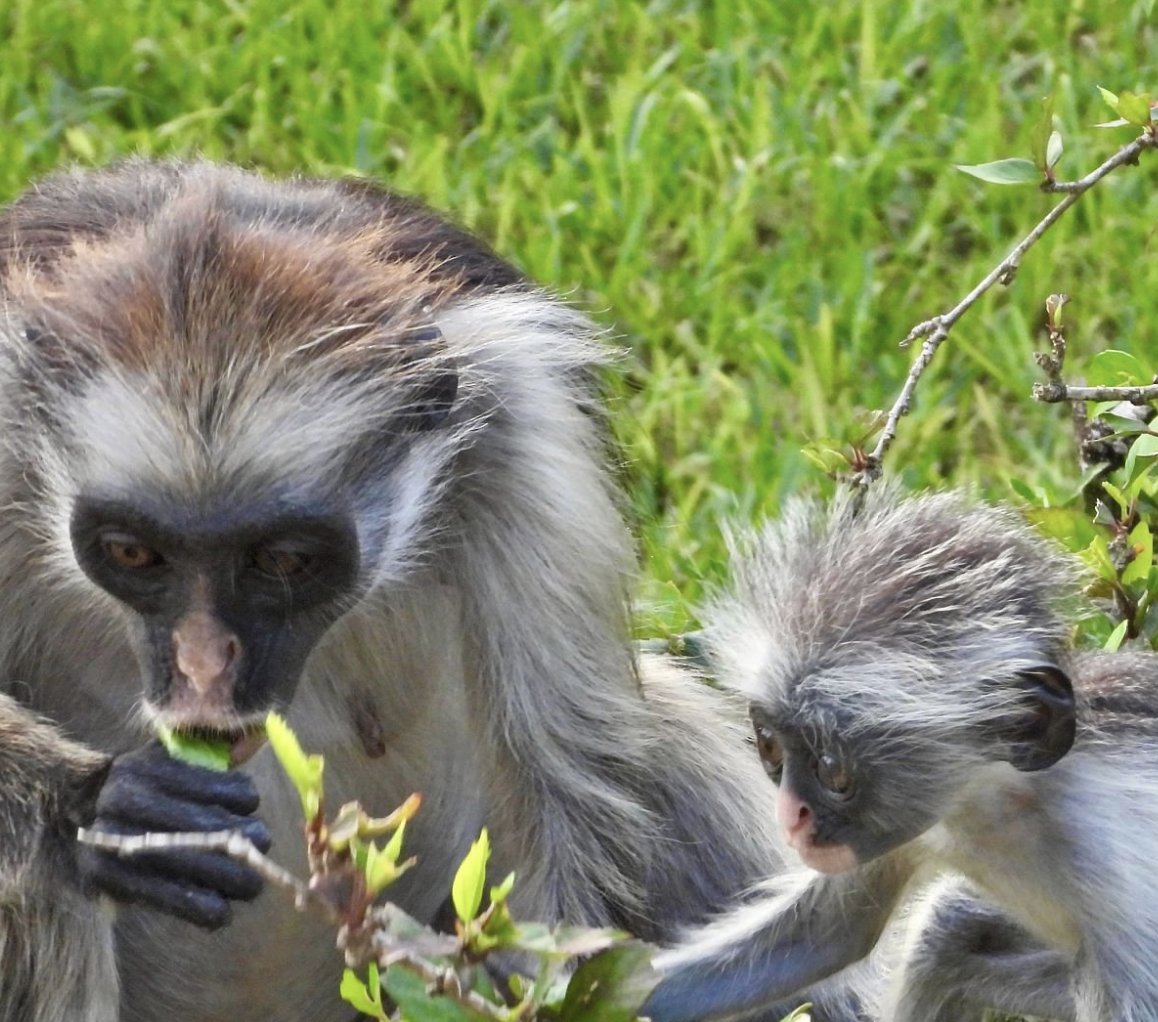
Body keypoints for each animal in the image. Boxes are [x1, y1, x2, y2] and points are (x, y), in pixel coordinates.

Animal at [0, 160, 871, 1022]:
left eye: (285, 561)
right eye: (131, 553)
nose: (206, 676)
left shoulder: (523, 423)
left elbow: (560, 797)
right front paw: (91, 804)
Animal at [641, 488, 1158, 1022]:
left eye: (833, 771)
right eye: (770, 746)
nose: (789, 815)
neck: (1004, 809)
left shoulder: (1119, 876)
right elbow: (824, 935)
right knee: (946, 931)